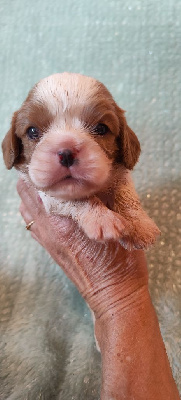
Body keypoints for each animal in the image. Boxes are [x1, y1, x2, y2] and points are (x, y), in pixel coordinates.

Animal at [1, 70, 160, 248]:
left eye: (101, 128)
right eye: (32, 131)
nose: (66, 153)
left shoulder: (122, 176)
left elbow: (126, 195)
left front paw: (139, 224)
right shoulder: (48, 196)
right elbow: (78, 199)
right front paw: (101, 218)